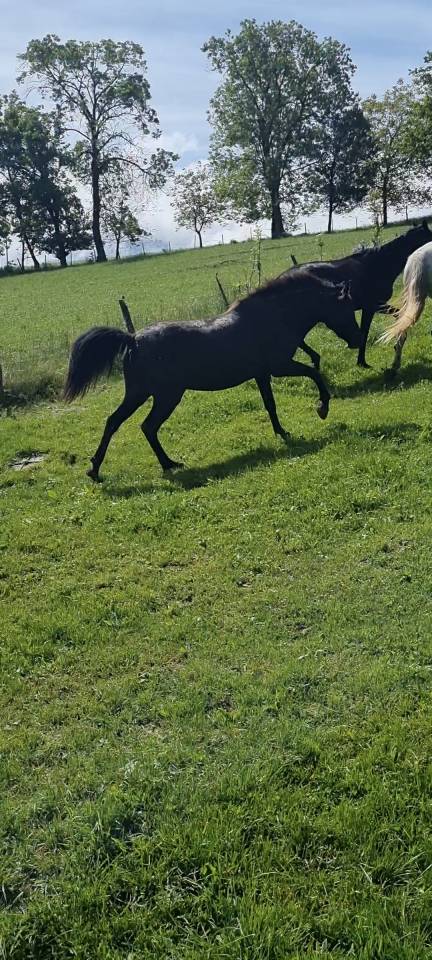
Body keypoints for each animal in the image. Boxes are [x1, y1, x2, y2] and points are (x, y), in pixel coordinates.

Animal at [64, 271, 361, 482]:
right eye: (345, 308)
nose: (358, 340)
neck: (272, 317)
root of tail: (133, 339)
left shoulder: (262, 374)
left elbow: (270, 404)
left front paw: (283, 433)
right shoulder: (280, 366)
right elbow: (314, 373)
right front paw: (322, 408)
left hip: (144, 394)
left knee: (118, 422)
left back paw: (103, 469)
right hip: (164, 395)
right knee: (145, 426)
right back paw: (164, 465)